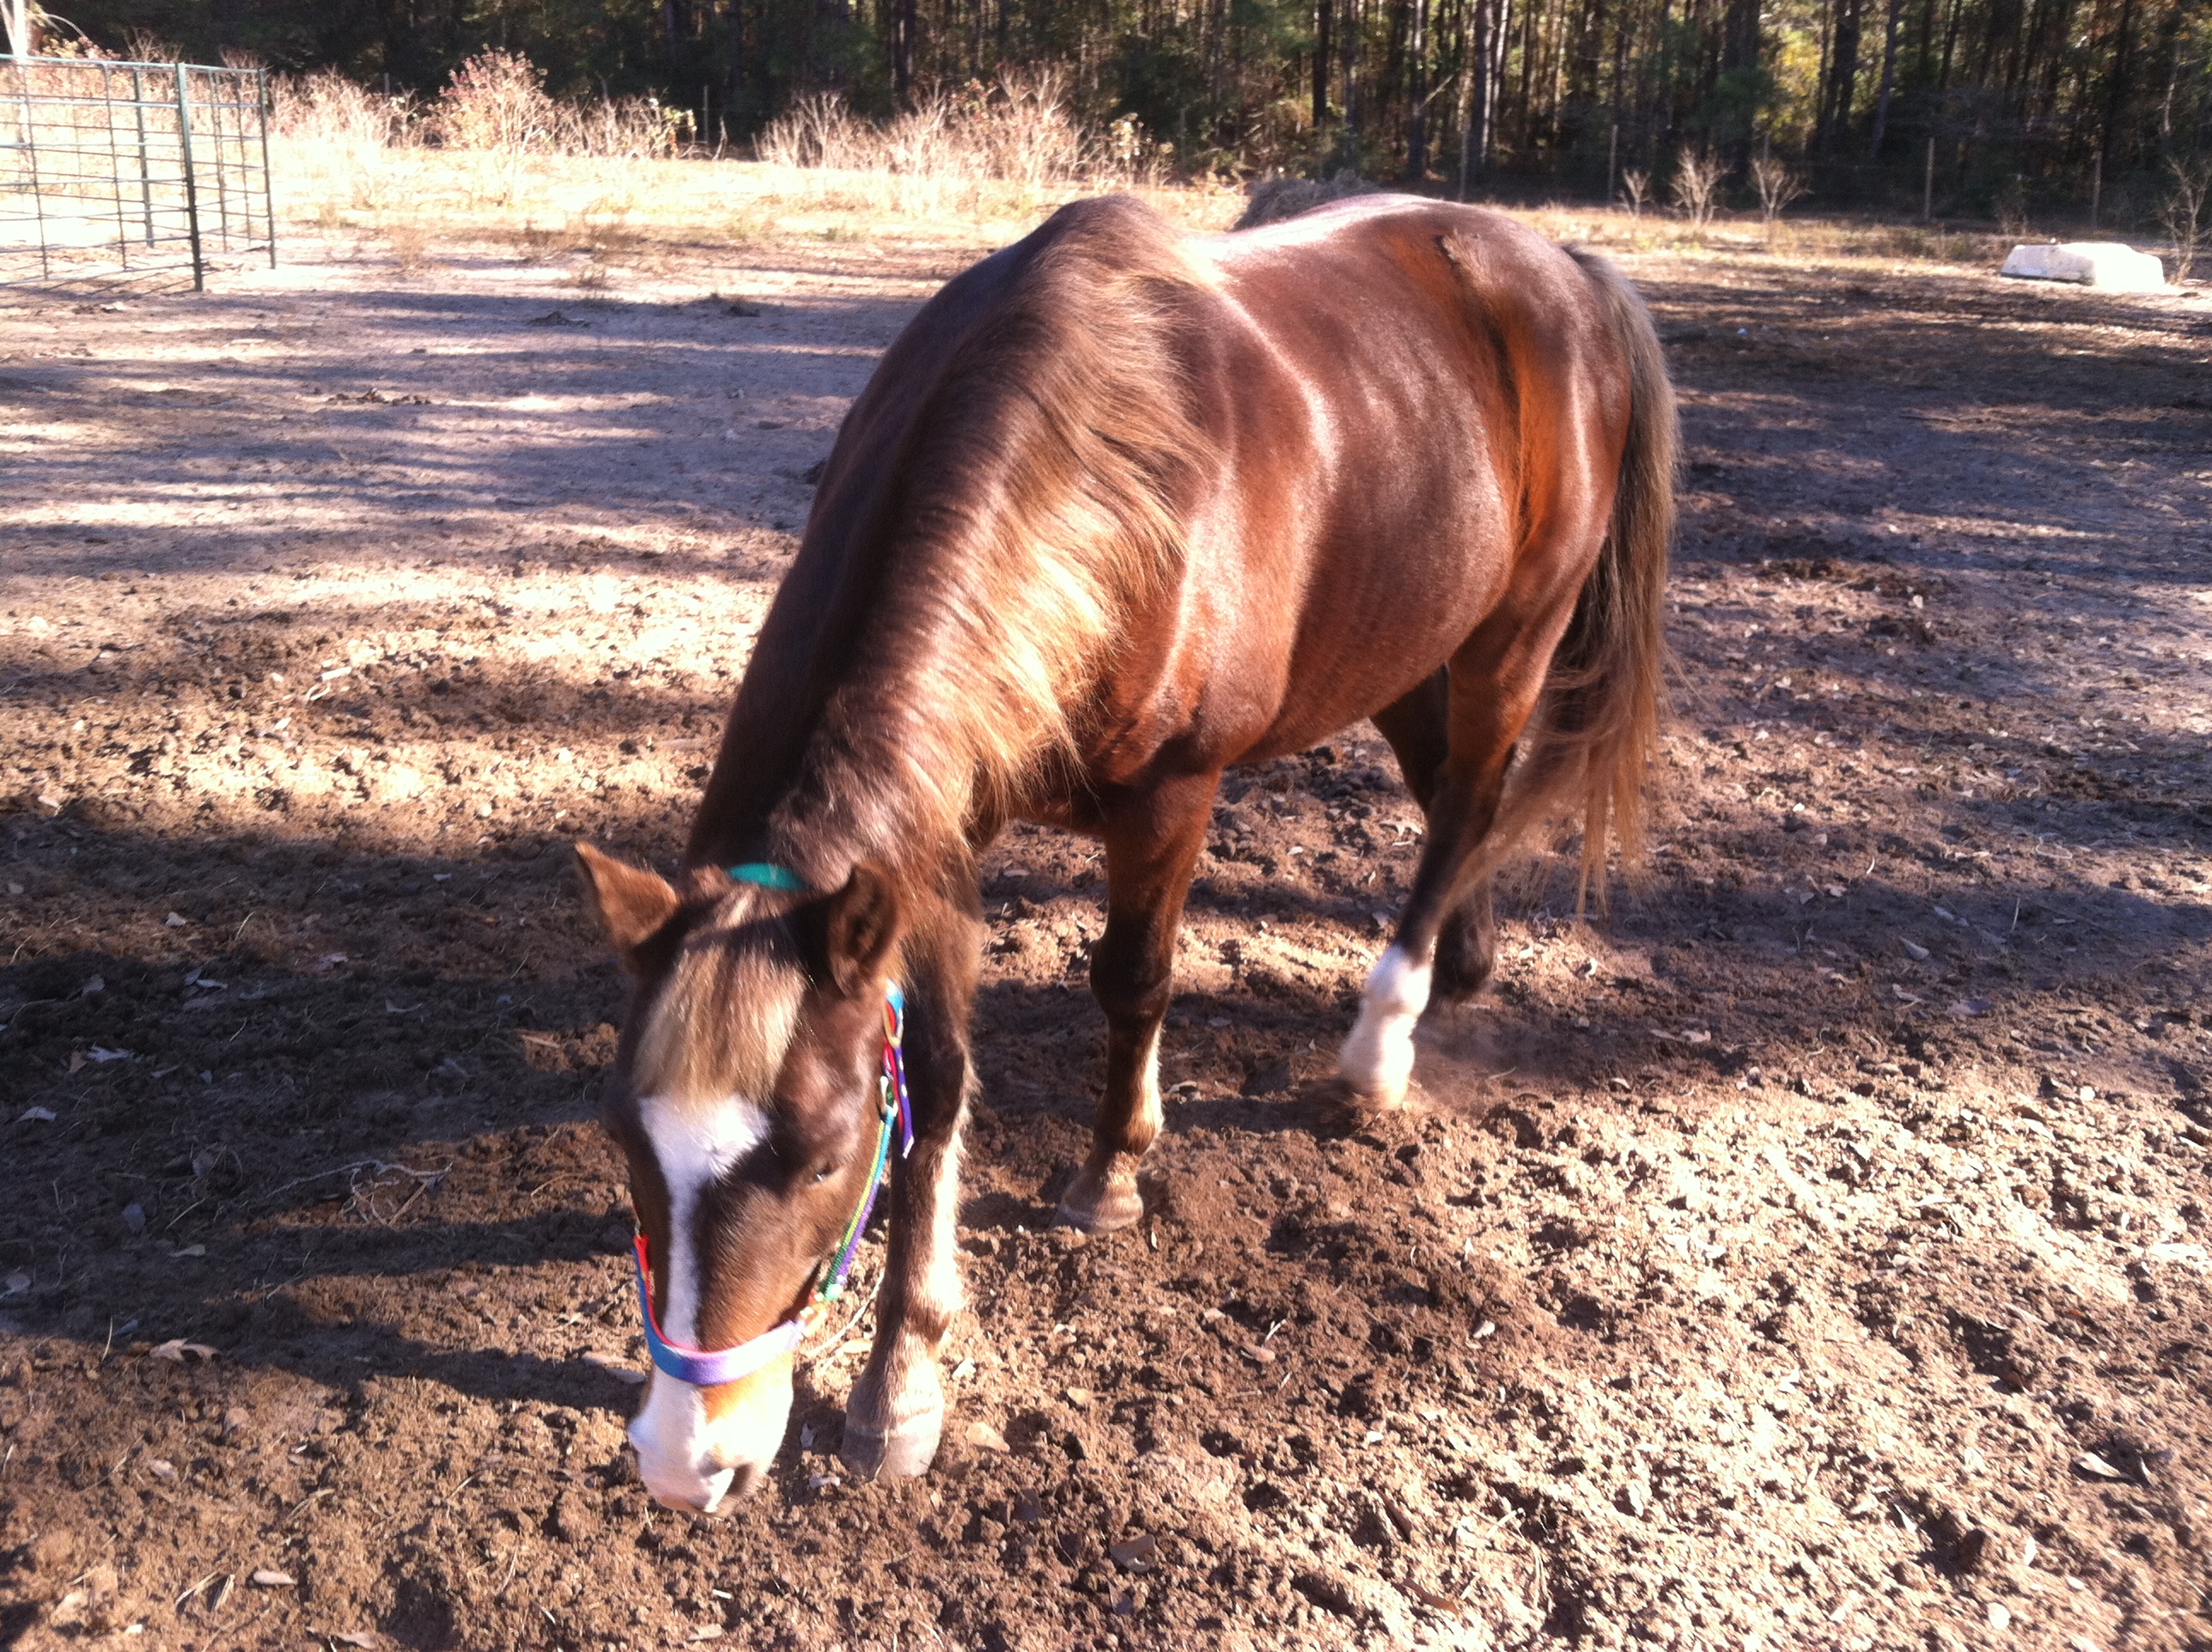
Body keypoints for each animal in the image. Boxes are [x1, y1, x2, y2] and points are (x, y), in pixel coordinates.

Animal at [574, 189, 1676, 1513]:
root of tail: (1561, 267)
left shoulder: (1171, 797)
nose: (688, 1461)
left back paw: (1382, 1041)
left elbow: (1132, 980)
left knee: (1464, 803)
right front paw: (907, 1381)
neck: (1102, 469)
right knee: (1458, 797)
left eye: (824, 1158)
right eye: (624, 1136)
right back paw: (1463, 964)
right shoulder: (938, 831)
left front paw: (1109, 1174)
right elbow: (937, 1069)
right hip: (1416, 646)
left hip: (1513, 640)